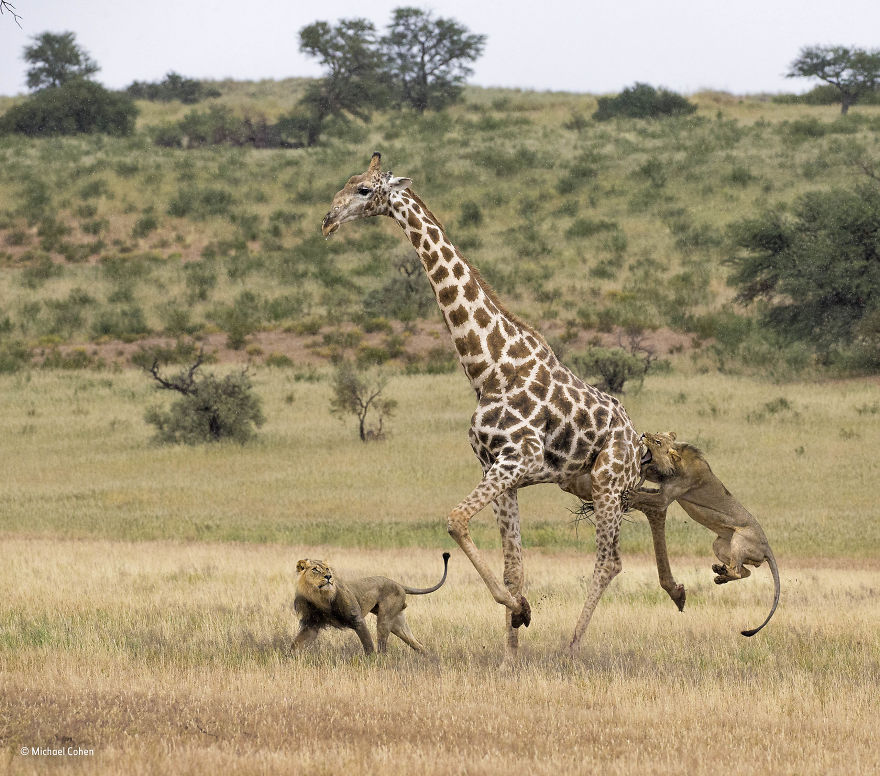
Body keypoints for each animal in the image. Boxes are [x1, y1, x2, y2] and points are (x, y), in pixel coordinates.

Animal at [292, 552, 450, 654]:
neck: (320, 597)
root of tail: (397, 583)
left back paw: (380, 660)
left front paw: (370, 661)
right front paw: (290, 658)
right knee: (417, 644)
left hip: (385, 619)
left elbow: (367, 643)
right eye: (315, 570)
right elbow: (296, 644)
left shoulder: (357, 619)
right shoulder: (312, 625)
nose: (329, 576)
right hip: (398, 624)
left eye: (327, 569)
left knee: (382, 646)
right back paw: (430, 659)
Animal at [629, 432, 780, 637]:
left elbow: (645, 496)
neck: (677, 464)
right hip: (719, 545)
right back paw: (720, 574)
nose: (644, 434)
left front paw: (630, 494)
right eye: (657, 434)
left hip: (740, 539)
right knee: (745, 571)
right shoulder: (662, 482)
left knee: (739, 571)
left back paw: (723, 572)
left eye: (658, 441)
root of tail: (767, 547)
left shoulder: (665, 498)